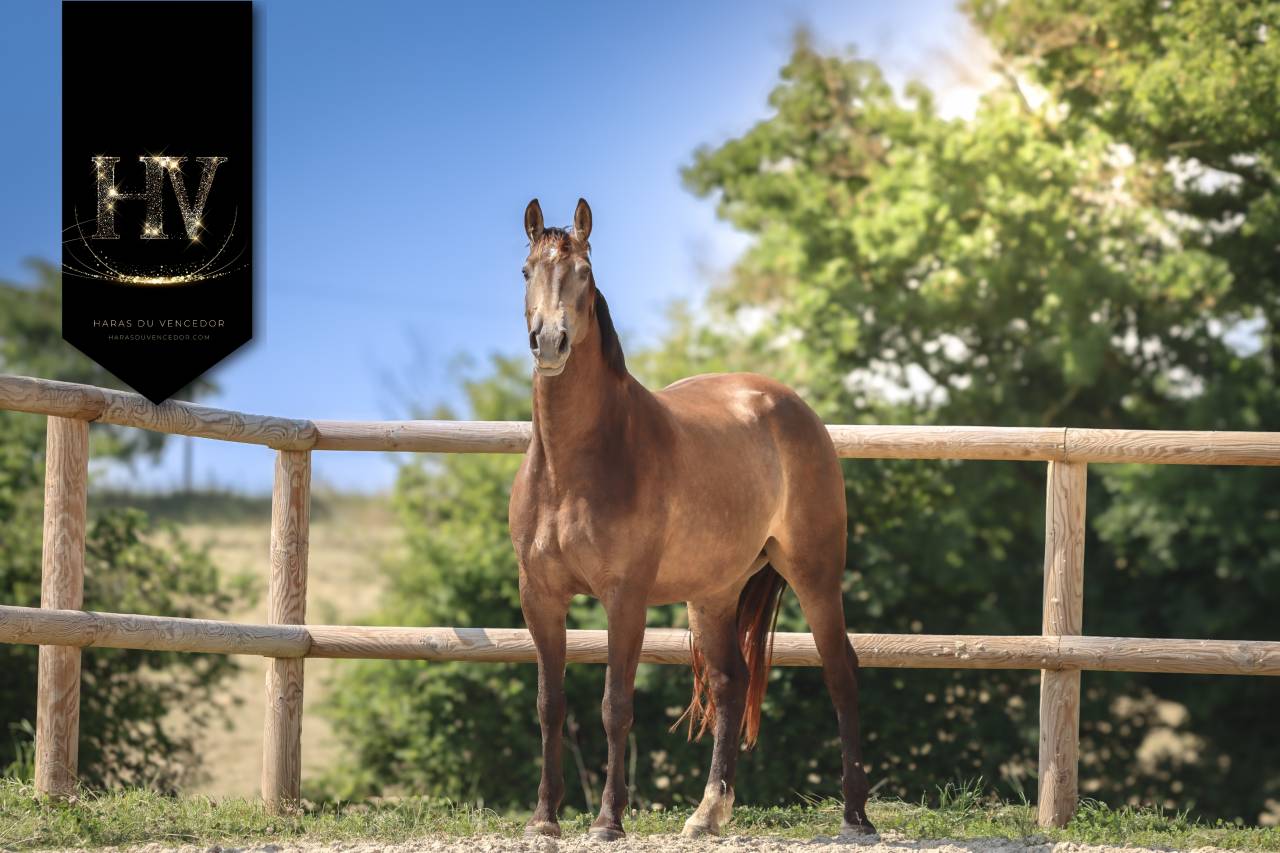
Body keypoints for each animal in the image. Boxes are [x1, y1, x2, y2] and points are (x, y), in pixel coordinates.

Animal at [508, 198, 877, 842]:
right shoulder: (540, 596)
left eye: (584, 273)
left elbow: (615, 706)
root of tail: (794, 407)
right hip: (713, 593)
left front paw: (607, 821)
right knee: (731, 684)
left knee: (841, 673)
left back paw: (855, 815)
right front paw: (544, 819)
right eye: (527, 271)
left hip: (815, 574)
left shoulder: (625, 597)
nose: (549, 342)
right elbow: (550, 706)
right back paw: (707, 813)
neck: (572, 466)